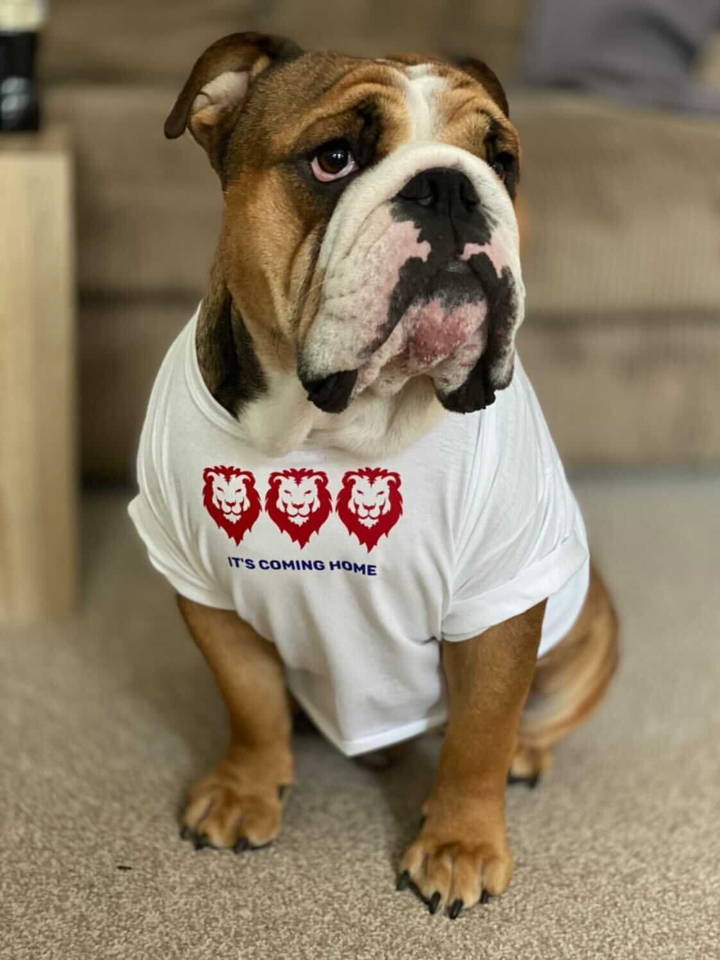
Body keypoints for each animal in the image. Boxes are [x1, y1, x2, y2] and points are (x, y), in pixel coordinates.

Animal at [129, 33, 620, 924]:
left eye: (502, 161)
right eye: (334, 159)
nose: (452, 186)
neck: (340, 429)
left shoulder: (499, 603)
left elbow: (480, 731)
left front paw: (460, 844)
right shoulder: (203, 591)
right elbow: (248, 699)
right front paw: (247, 787)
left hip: (591, 627)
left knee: (532, 716)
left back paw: (525, 753)